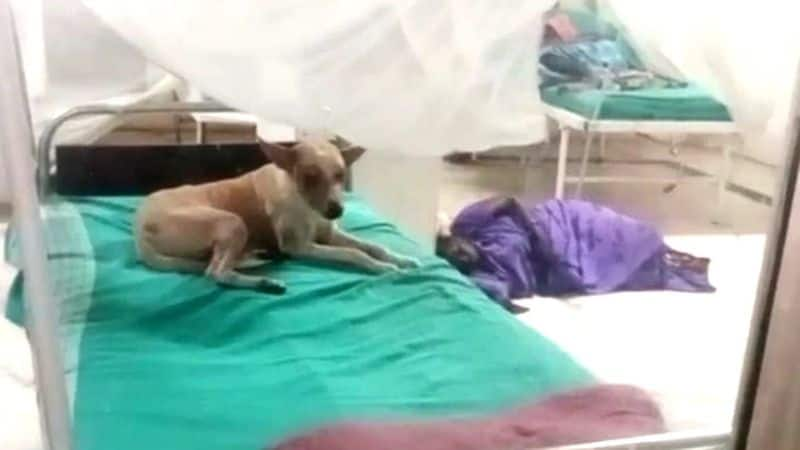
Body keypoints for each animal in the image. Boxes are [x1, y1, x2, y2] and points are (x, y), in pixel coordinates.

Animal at [133, 135, 418, 294]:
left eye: (340, 175)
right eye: (309, 177)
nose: (337, 210)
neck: (304, 204)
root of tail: (139, 229)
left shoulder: (330, 235)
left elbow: (374, 246)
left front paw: (400, 258)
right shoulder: (301, 247)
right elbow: (354, 254)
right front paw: (383, 268)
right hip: (231, 222)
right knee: (216, 273)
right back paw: (262, 282)